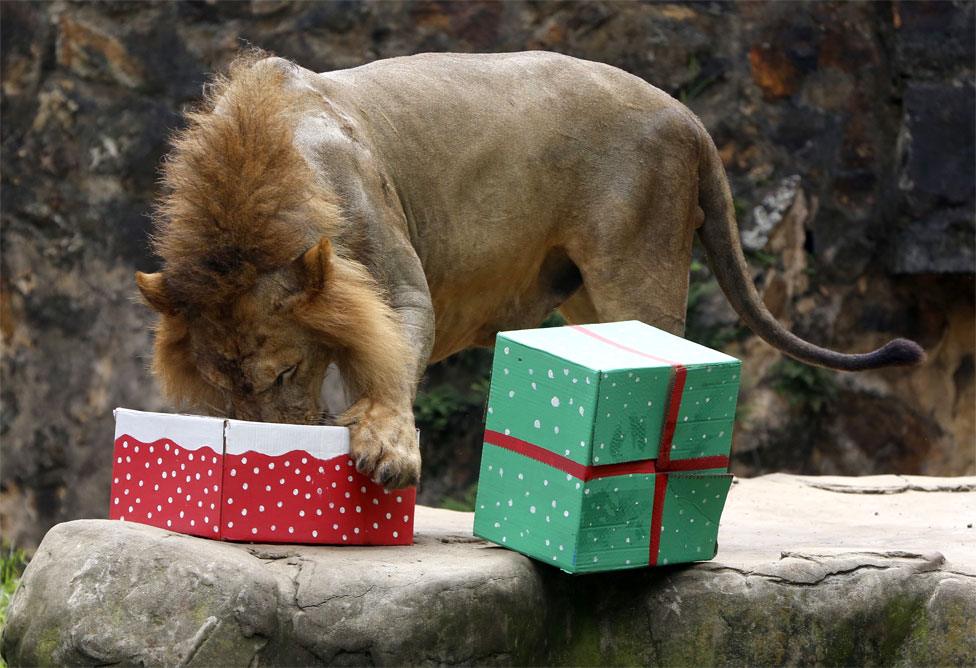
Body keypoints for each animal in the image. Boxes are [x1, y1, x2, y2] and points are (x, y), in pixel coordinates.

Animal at [135, 52, 924, 488]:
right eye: (224, 391)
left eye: (285, 375)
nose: (272, 444)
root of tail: (686, 115)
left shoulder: (397, 279)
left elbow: (388, 365)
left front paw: (388, 449)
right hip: (587, 297)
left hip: (636, 264)